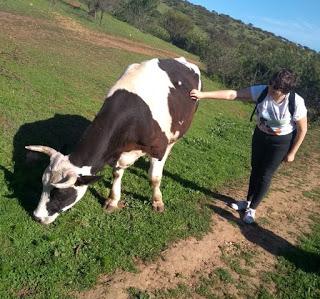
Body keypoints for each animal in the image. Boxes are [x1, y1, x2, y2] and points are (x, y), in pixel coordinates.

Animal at [26, 56, 201, 225]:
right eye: (43, 184)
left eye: (59, 192)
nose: (37, 216)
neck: (136, 116)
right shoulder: (119, 151)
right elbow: (117, 173)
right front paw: (113, 200)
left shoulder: (158, 148)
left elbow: (154, 178)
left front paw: (157, 202)